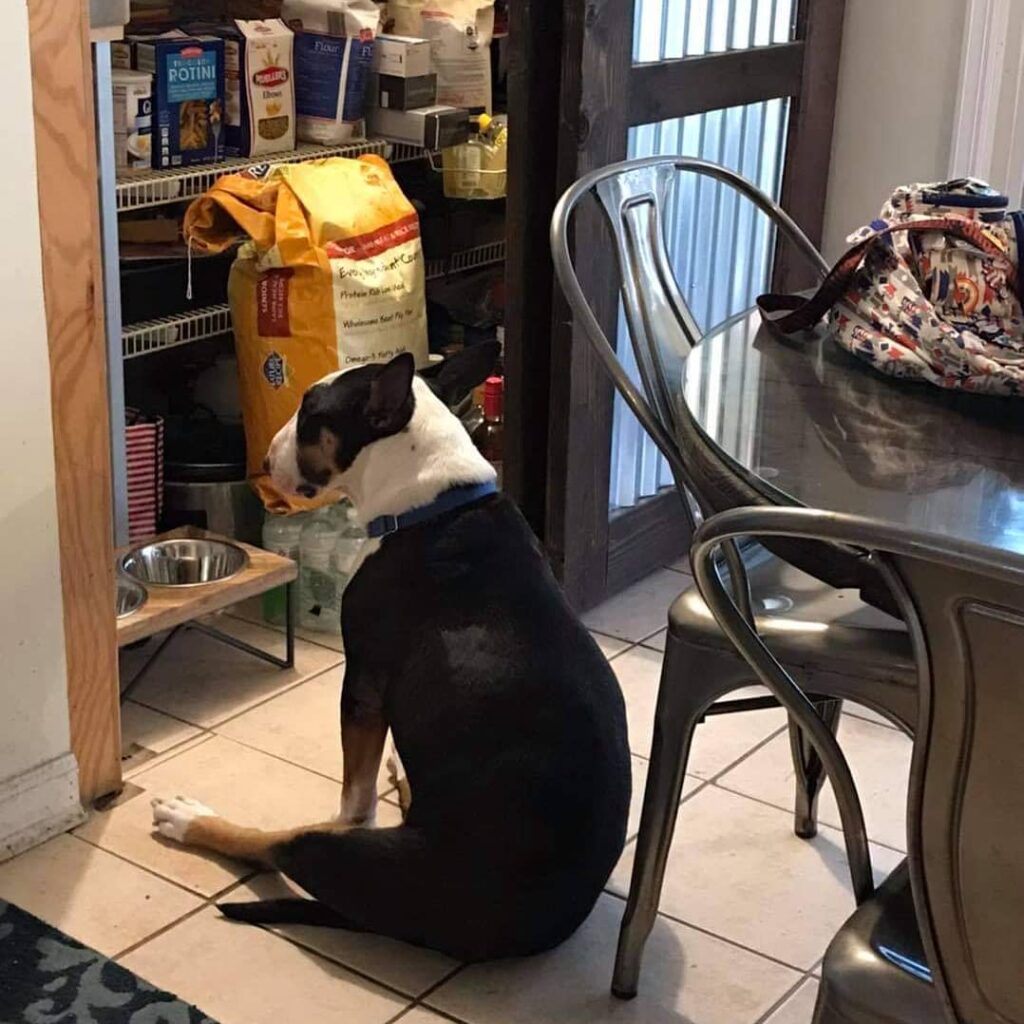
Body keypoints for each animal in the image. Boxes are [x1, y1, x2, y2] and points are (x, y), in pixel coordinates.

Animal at [151, 345, 630, 960]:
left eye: (310, 415)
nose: (263, 458)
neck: (430, 504)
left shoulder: (362, 684)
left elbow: (353, 798)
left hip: (340, 853)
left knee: (275, 844)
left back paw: (190, 819)